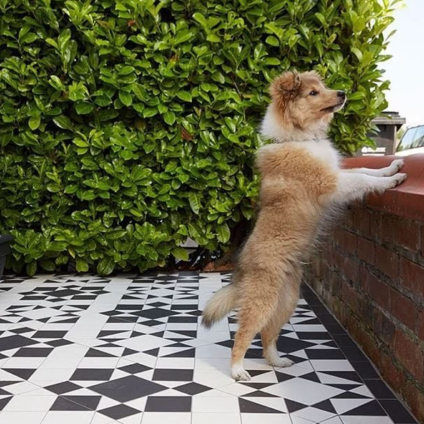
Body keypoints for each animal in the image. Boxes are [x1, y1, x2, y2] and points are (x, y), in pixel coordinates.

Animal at [202, 70, 408, 380]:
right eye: (313, 93)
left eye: (323, 87)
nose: (343, 93)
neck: (301, 138)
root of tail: (242, 271)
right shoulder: (330, 182)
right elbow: (362, 178)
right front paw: (392, 180)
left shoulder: (335, 172)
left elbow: (364, 169)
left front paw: (391, 167)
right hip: (263, 299)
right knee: (244, 333)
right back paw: (238, 371)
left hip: (287, 300)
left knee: (268, 335)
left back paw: (277, 361)